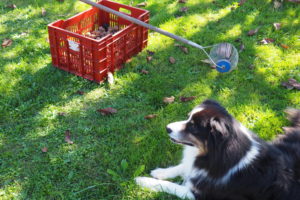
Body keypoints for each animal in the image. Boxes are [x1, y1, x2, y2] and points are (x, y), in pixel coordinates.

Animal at [135, 100, 300, 200]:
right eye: (188, 118)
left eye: (193, 127)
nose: (167, 128)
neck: (214, 155)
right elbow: (183, 166)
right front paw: (160, 172)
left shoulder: (201, 195)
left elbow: (170, 185)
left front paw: (142, 180)